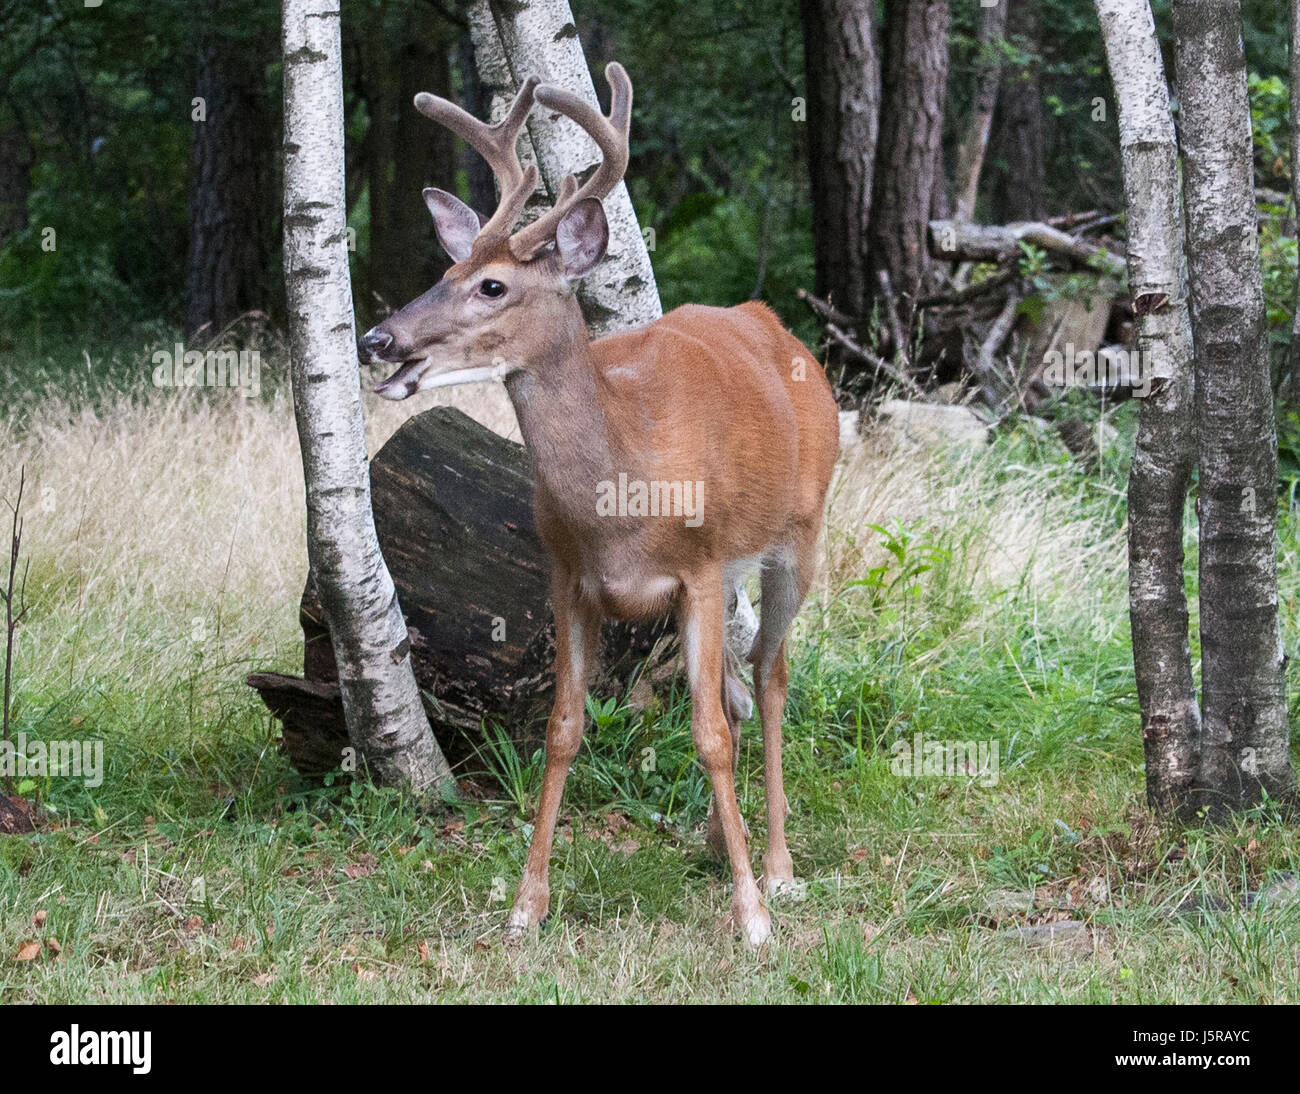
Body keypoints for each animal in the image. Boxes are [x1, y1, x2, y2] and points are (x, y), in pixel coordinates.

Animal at [358, 63, 842, 940]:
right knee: (738, 687)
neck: (621, 493)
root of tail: (772, 324)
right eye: (441, 276)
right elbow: (563, 730)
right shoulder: (569, 579)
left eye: (492, 285)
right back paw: (718, 842)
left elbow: (709, 734)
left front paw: (752, 915)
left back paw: (780, 868)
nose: (379, 340)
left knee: (771, 676)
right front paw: (526, 906)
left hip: (798, 533)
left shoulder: (700, 564)